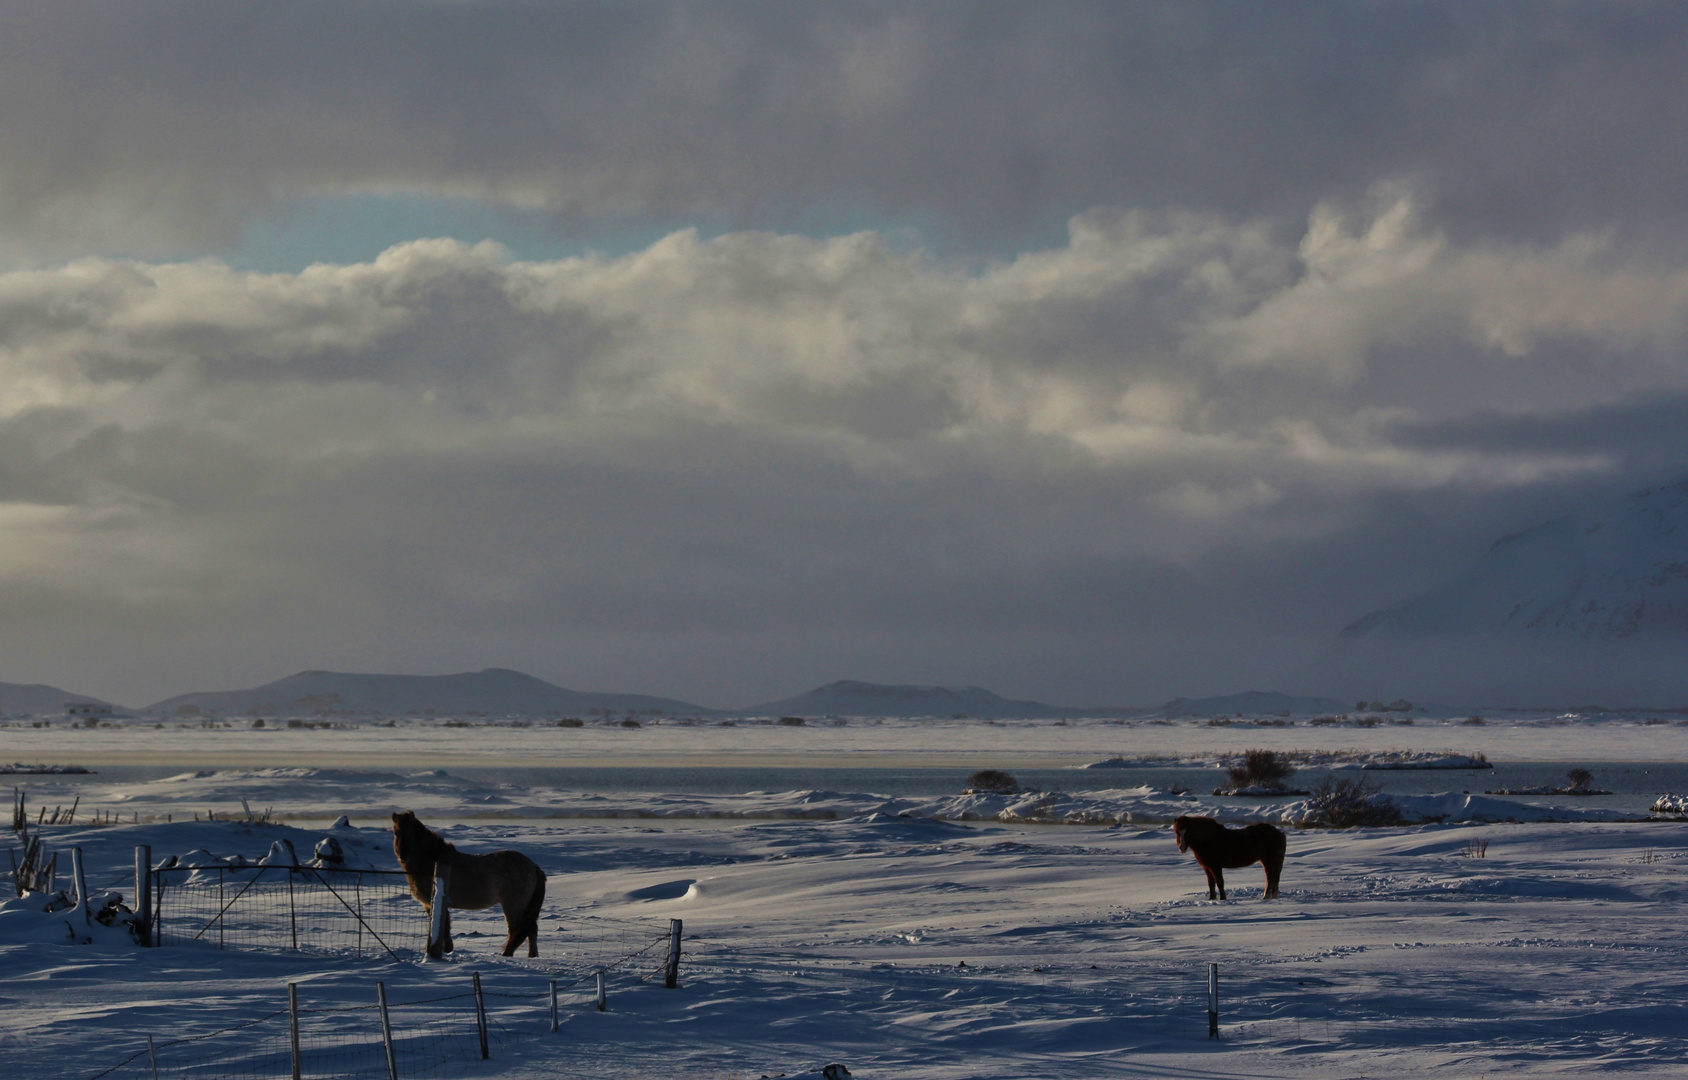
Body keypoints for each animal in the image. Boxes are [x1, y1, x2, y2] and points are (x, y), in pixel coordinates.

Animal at [393, 813, 546, 958]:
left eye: (413, 832)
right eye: (396, 832)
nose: (403, 856)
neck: (432, 859)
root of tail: (534, 867)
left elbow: (441, 927)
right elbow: (443, 927)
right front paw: (446, 950)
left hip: (513, 907)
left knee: (518, 930)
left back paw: (508, 954)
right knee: (531, 929)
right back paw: (532, 955)